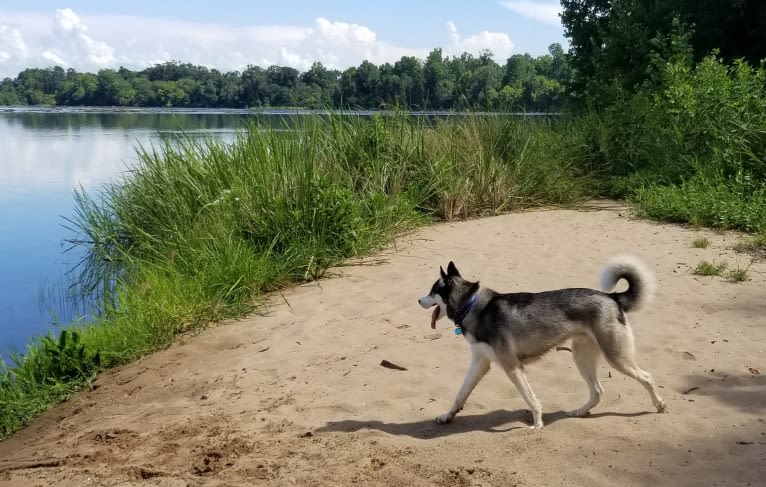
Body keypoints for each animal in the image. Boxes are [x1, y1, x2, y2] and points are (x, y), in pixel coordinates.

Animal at [420, 258, 664, 428]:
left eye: (432, 291)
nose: (418, 300)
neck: (472, 305)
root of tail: (612, 297)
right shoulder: (480, 363)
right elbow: (460, 394)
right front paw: (447, 415)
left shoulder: (513, 367)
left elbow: (530, 398)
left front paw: (537, 423)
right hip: (582, 357)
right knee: (597, 391)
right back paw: (580, 412)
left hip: (616, 357)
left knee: (647, 377)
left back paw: (659, 404)